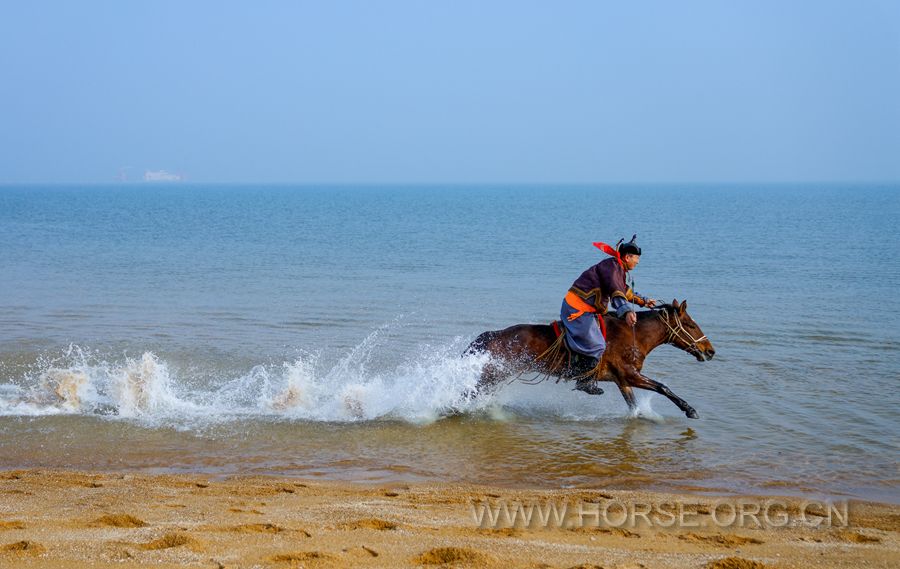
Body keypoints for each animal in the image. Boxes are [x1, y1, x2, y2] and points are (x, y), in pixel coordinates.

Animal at [468, 302, 712, 418]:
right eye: (690, 324)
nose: (710, 351)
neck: (634, 335)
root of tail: (492, 335)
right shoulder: (630, 374)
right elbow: (663, 387)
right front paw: (690, 410)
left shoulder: (622, 380)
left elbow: (633, 405)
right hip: (494, 373)